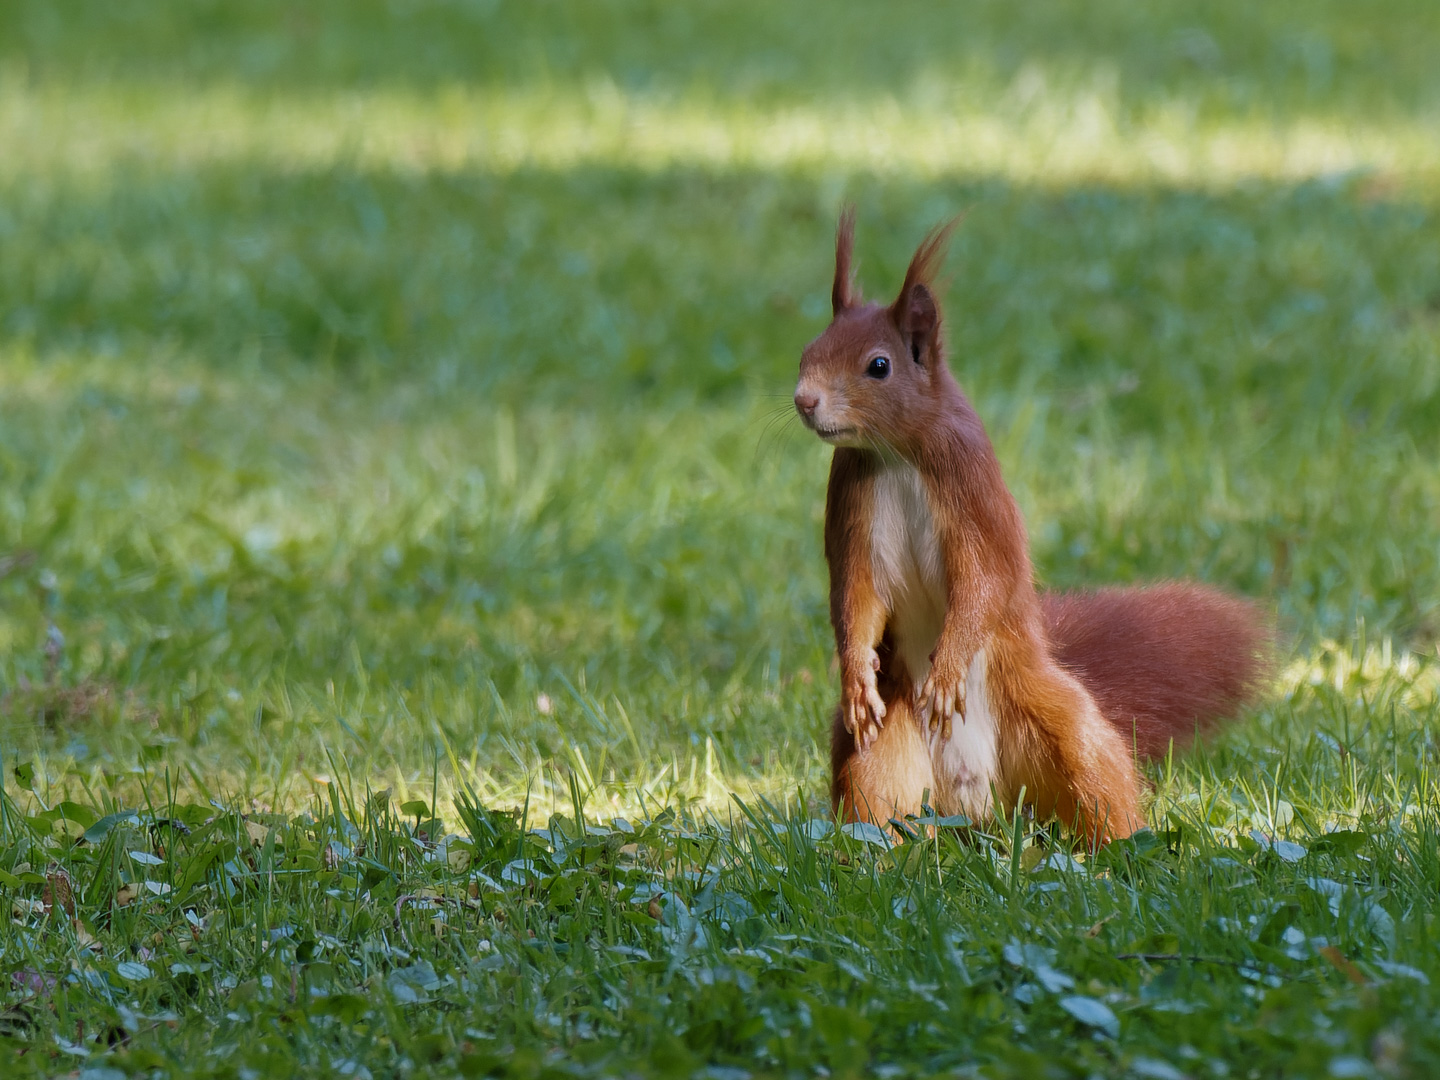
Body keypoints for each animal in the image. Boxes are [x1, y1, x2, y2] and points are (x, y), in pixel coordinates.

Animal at [800, 211, 1272, 852]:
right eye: (808, 350)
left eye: (879, 365)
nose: (804, 400)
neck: (896, 455)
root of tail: (977, 810)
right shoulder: (851, 509)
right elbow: (855, 599)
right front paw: (853, 679)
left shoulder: (972, 496)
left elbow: (984, 582)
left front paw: (947, 668)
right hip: (878, 752)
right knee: (875, 800)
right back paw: (876, 857)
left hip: (1056, 724)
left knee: (1096, 778)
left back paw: (1118, 849)